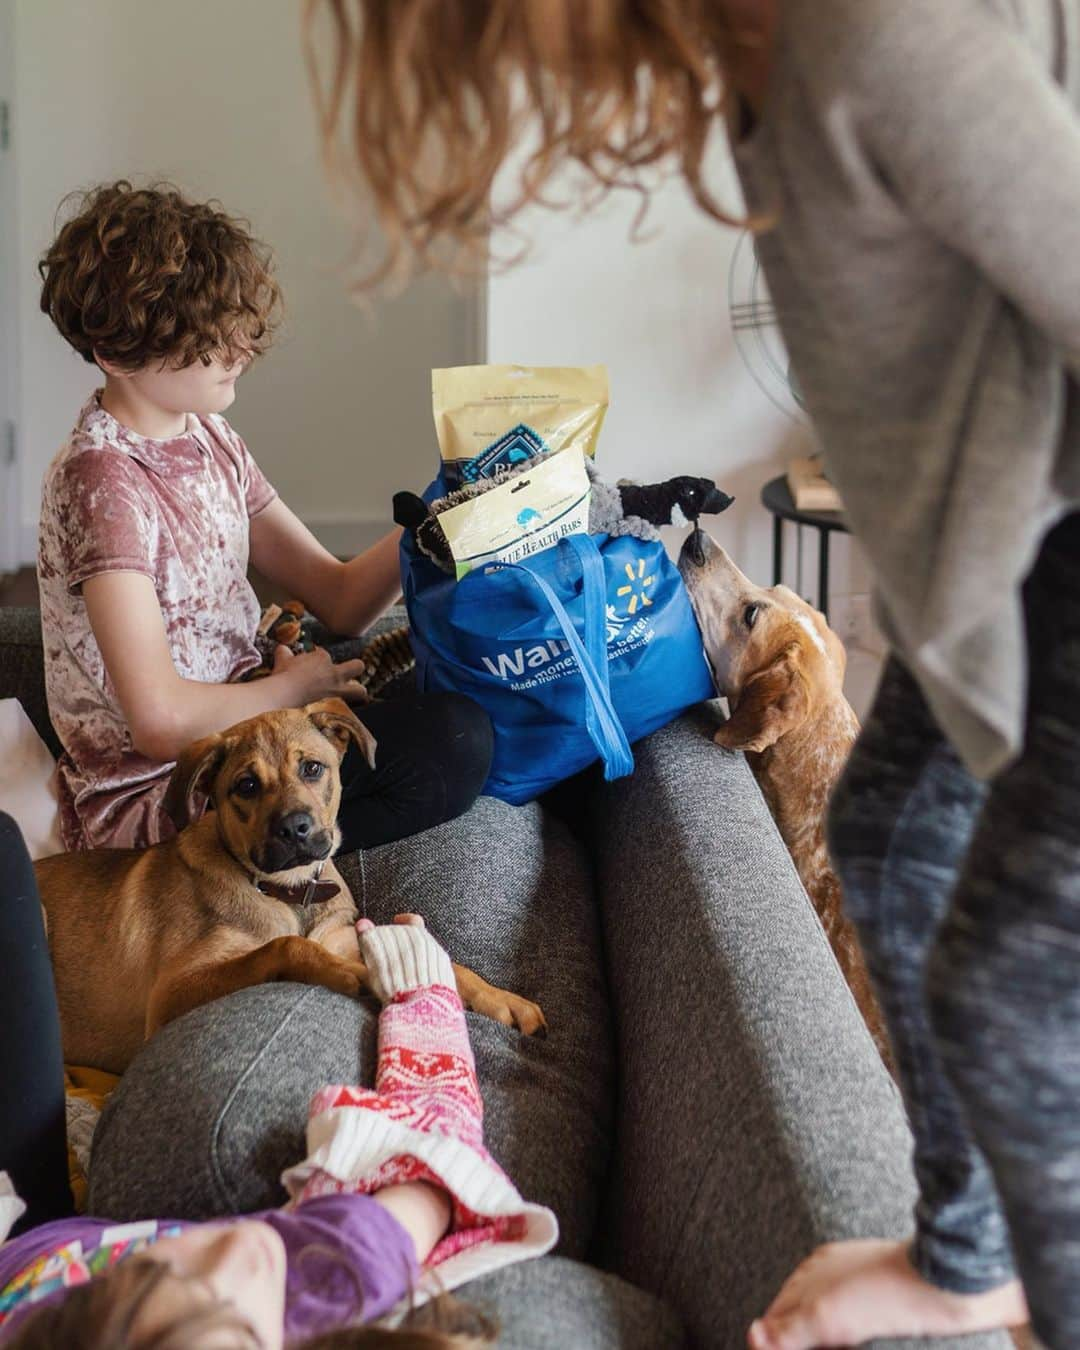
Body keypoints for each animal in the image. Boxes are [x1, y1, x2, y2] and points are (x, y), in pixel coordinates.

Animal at [36, 702, 545, 1069]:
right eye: (245, 785)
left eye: (313, 769)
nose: (296, 829)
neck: (289, 890)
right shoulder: (170, 996)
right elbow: (283, 946)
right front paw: (349, 975)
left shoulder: (342, 937)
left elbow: (449, 963)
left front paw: (504, 1001)